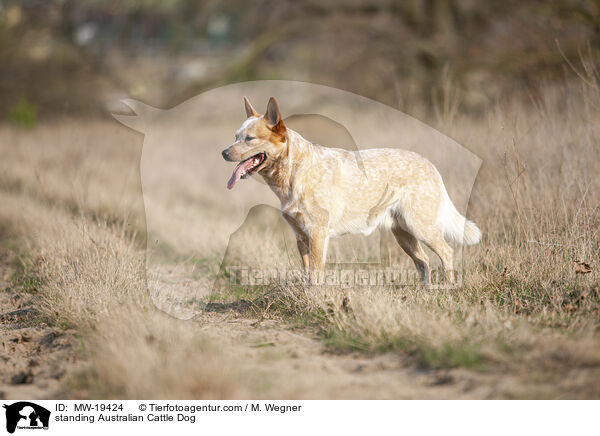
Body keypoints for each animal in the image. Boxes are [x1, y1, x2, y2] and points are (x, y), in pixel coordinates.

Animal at [223, 97, 480, 284]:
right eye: (235, 137)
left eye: (249, 138)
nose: (224, 152)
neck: (295, 171)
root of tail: (430, 165)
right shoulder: (300, 237)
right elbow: (307, 275)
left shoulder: (317, 234)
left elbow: (315, 277)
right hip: (403, 234)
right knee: (423, 261)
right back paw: (424, 292)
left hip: (421, 226)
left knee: (447, 252)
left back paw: (446, 288)